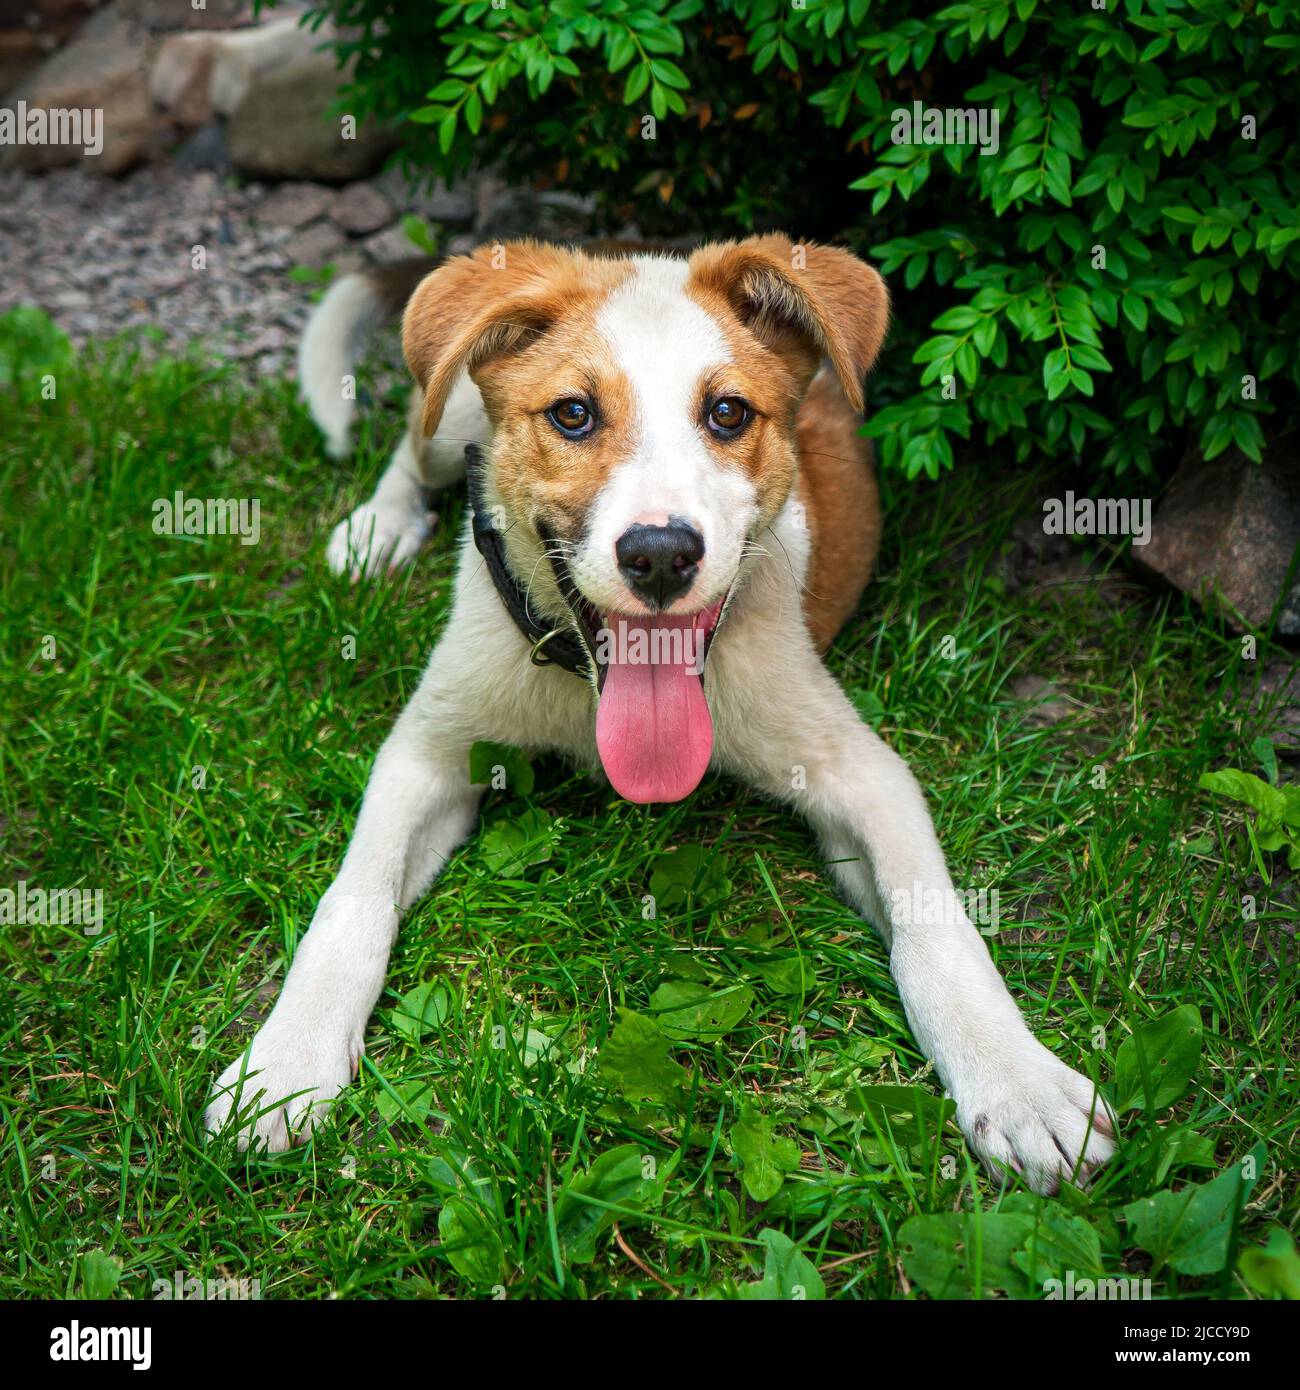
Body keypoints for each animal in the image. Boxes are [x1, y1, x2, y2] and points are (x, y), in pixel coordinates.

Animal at [205, 233, 1117, 1189]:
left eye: (728, 413)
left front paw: (1016, 1081)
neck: (583, 686)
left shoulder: (862, 772)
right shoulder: (427, 750)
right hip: (449, 412)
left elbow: (935, 927)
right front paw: (287, 1060)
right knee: (411, 442)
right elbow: (354, 901)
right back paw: (377, 527)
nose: (660, 554)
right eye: (572, 414)